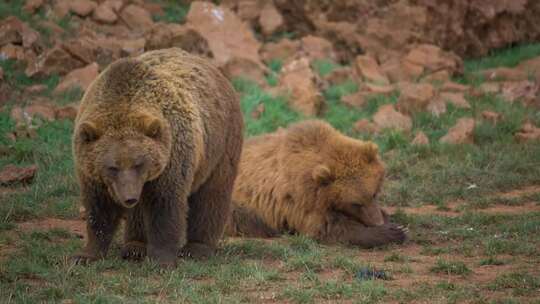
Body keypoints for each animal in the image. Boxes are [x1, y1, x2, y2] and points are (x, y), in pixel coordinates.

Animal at [71, 48, 243, 268]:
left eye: (139, 163)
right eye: (112, 167)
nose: (129, 197)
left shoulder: (171, 154)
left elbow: (164, 206)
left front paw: (162, 260)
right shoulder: (91, 170)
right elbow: (99, 209)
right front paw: (86, 255)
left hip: (220, 145)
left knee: (212, 195)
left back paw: (197, 248)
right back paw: (135, 247)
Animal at [226, 120, 408, 248]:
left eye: (374, 193)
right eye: (356, 203)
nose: (377, 222)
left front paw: (392, 222)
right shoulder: (300, 201)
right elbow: (330, 229)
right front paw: (393, 231)